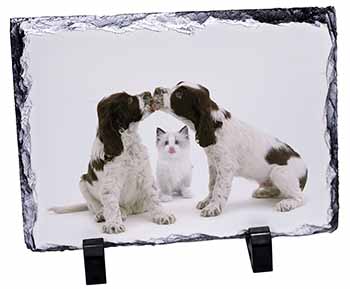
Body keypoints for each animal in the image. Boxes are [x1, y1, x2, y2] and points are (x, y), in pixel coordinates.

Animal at [154, 81, 308, 216]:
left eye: (179, 94)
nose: (156, 90)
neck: (215, 126)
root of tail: (306, 171)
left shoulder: (226, 166)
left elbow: (219, 188)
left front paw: (213, 207)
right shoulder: (213, 165)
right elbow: (212, 185)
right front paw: (207, 201)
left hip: (280, 172)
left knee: (299, 197)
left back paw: (286, 203)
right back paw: (264, 192)